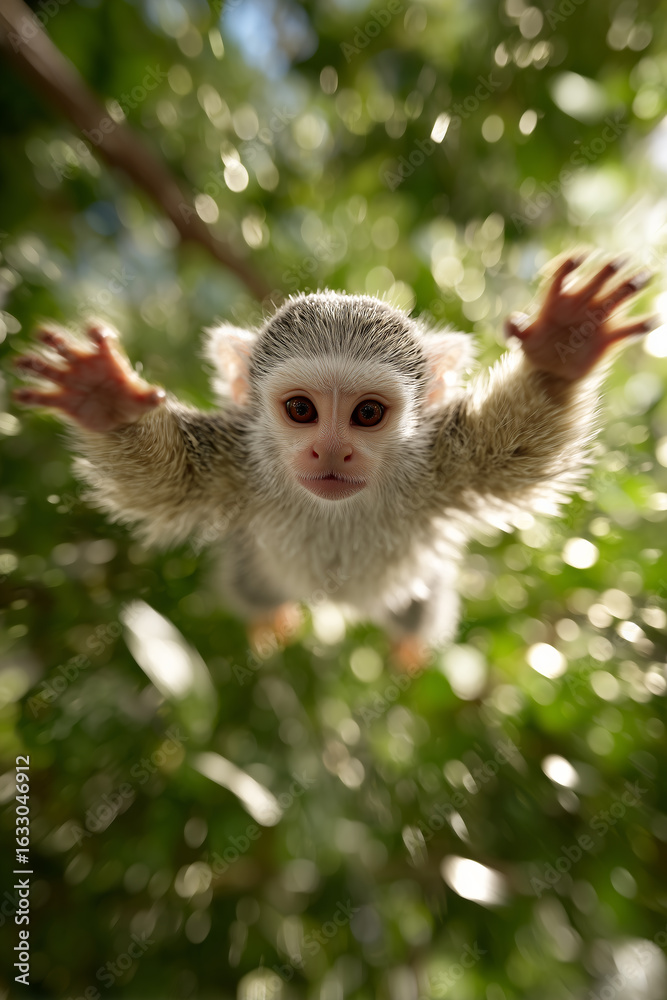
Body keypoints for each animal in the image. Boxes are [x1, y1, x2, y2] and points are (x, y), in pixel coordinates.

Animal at [12, 254, 655, 663]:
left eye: (366, 414)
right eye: (301, 410)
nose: (331, 448)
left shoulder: (438, 465)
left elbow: (514, 456)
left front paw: (560, 351)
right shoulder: (241, 465)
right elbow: (167, 484)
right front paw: (104, 399)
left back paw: (409, 640)